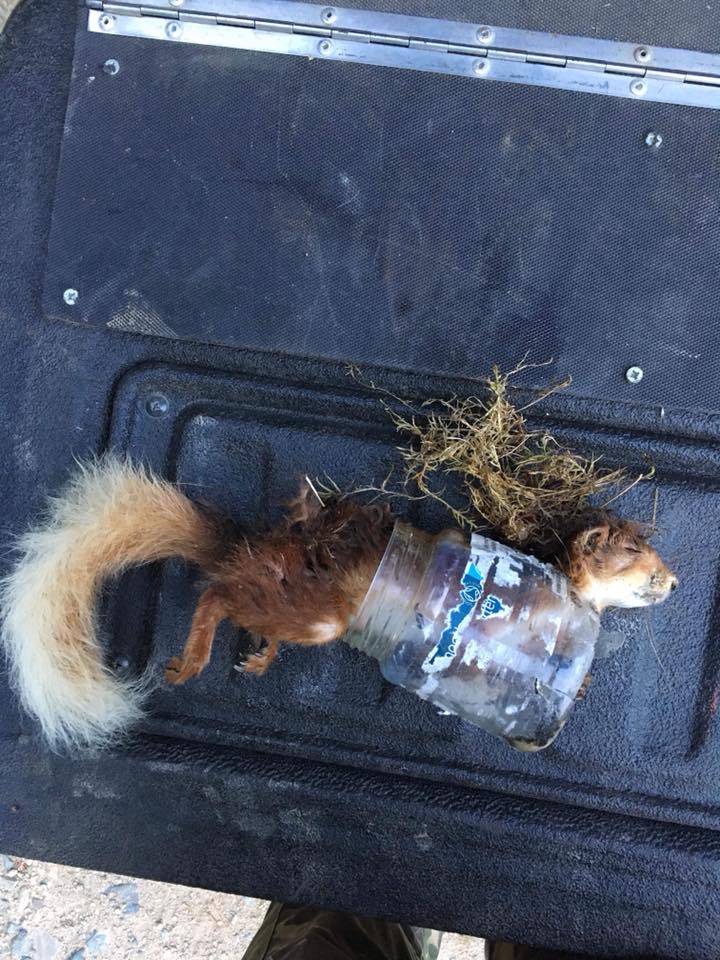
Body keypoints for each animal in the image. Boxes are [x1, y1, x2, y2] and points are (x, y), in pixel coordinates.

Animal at [0, 458, 676, 752]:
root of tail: (246, 549)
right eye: (641, 558)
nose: (674, 583)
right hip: (316, 614)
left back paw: (260, 657)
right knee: (215, 595)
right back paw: (191, 661)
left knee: (238, 606)